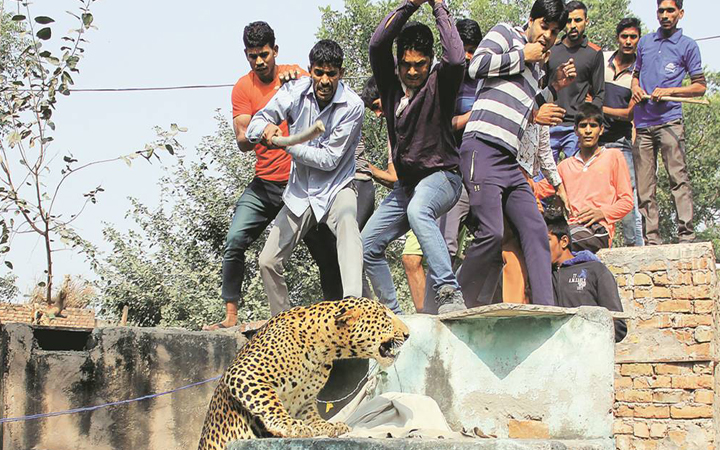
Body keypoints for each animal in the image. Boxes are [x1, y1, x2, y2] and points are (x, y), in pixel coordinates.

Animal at [197, 298, 410, 448]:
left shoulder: (304, 399)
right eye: (386, 316)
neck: (326, 348)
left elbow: (310, 415)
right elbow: (269, 401)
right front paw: (290, 425)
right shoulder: (245, 372)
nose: (407, 334)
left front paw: (328, 426)